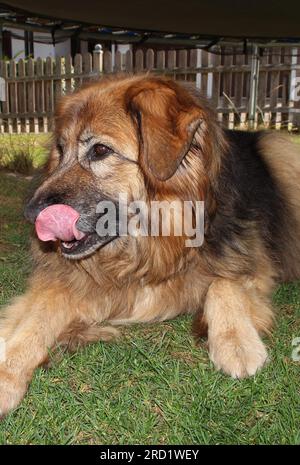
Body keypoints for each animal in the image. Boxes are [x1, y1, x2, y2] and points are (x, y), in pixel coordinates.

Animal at [0, 74, 300, 416]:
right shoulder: (63, 281)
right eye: (60, 151)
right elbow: (33, 321)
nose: (30, 212)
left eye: (100, 150)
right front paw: (8, 373)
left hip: (280, 150)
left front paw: (236, 343)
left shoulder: (249, 259)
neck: (148, 248)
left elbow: (224, 284)